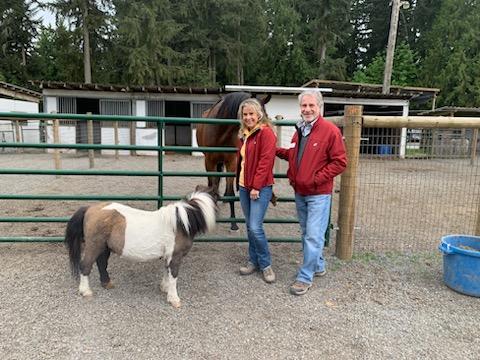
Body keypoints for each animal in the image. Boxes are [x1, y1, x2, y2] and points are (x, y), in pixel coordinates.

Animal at [63, 187, 218, 308]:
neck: (180, 223)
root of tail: (90, 208)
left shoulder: (168, 256)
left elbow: (167, 271)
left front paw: (164, 288)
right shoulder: (175, 256)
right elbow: (173, 276)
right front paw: (174, 299)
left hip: (104, 247)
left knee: (101, 263)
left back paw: (107, 283)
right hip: (94, 245)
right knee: (85, 265)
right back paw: (85, 291)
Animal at [195, 93, 270, 231]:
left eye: (266, 114)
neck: (221, 133)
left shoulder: (231, 162)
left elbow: (230, 192)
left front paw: (233, 223)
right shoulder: (209, 162)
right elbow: (212, 184)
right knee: (212, 182)